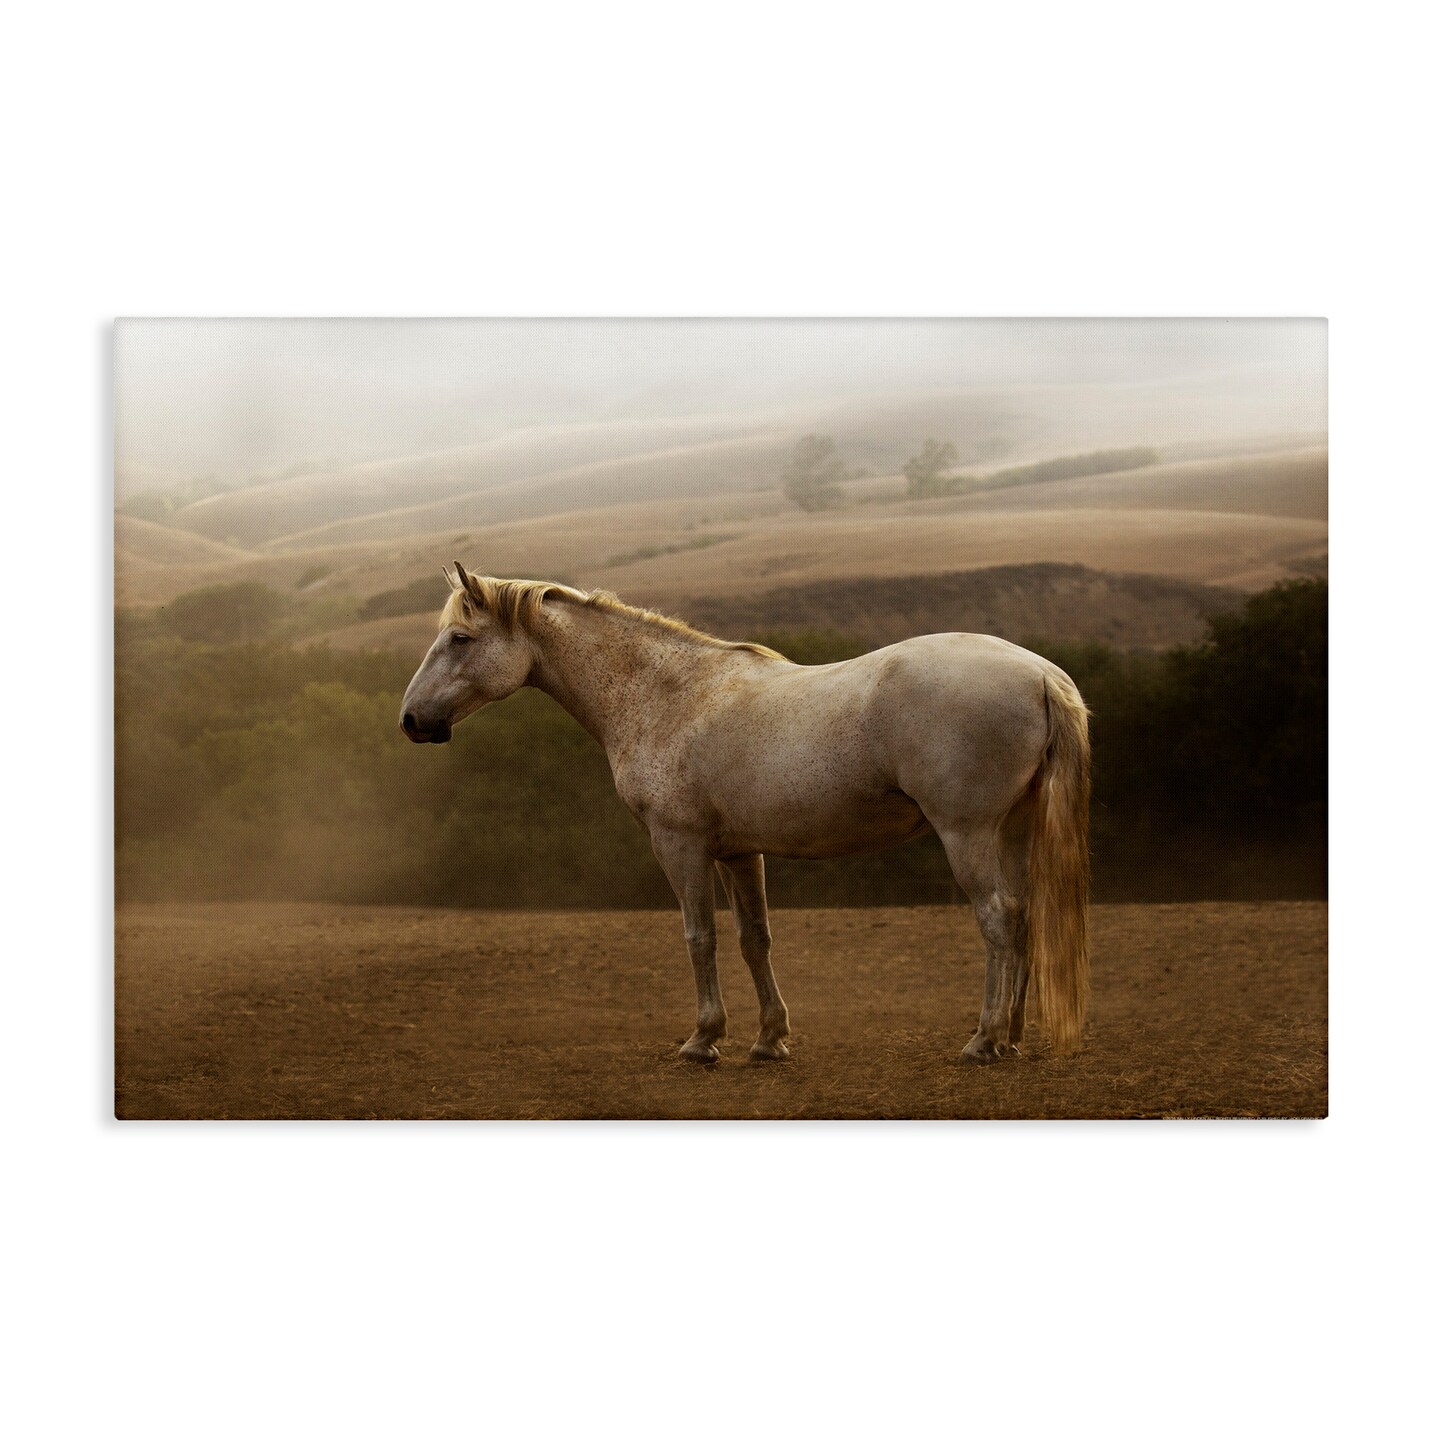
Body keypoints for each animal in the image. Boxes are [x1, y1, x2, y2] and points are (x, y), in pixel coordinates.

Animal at [400, 564, 1091, 1066]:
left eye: (460, 639)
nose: (411, 721)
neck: (666, 694)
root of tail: (1039, 674)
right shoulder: (739, 851)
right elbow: (754, 939)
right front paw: (768, 1040)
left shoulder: (678, 844)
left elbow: (699, 937)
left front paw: (703, 1040)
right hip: (1010, 830)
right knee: (1022, 916)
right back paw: (1013, 1036)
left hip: (967, 834)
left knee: (997, 918)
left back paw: (984, 1039)